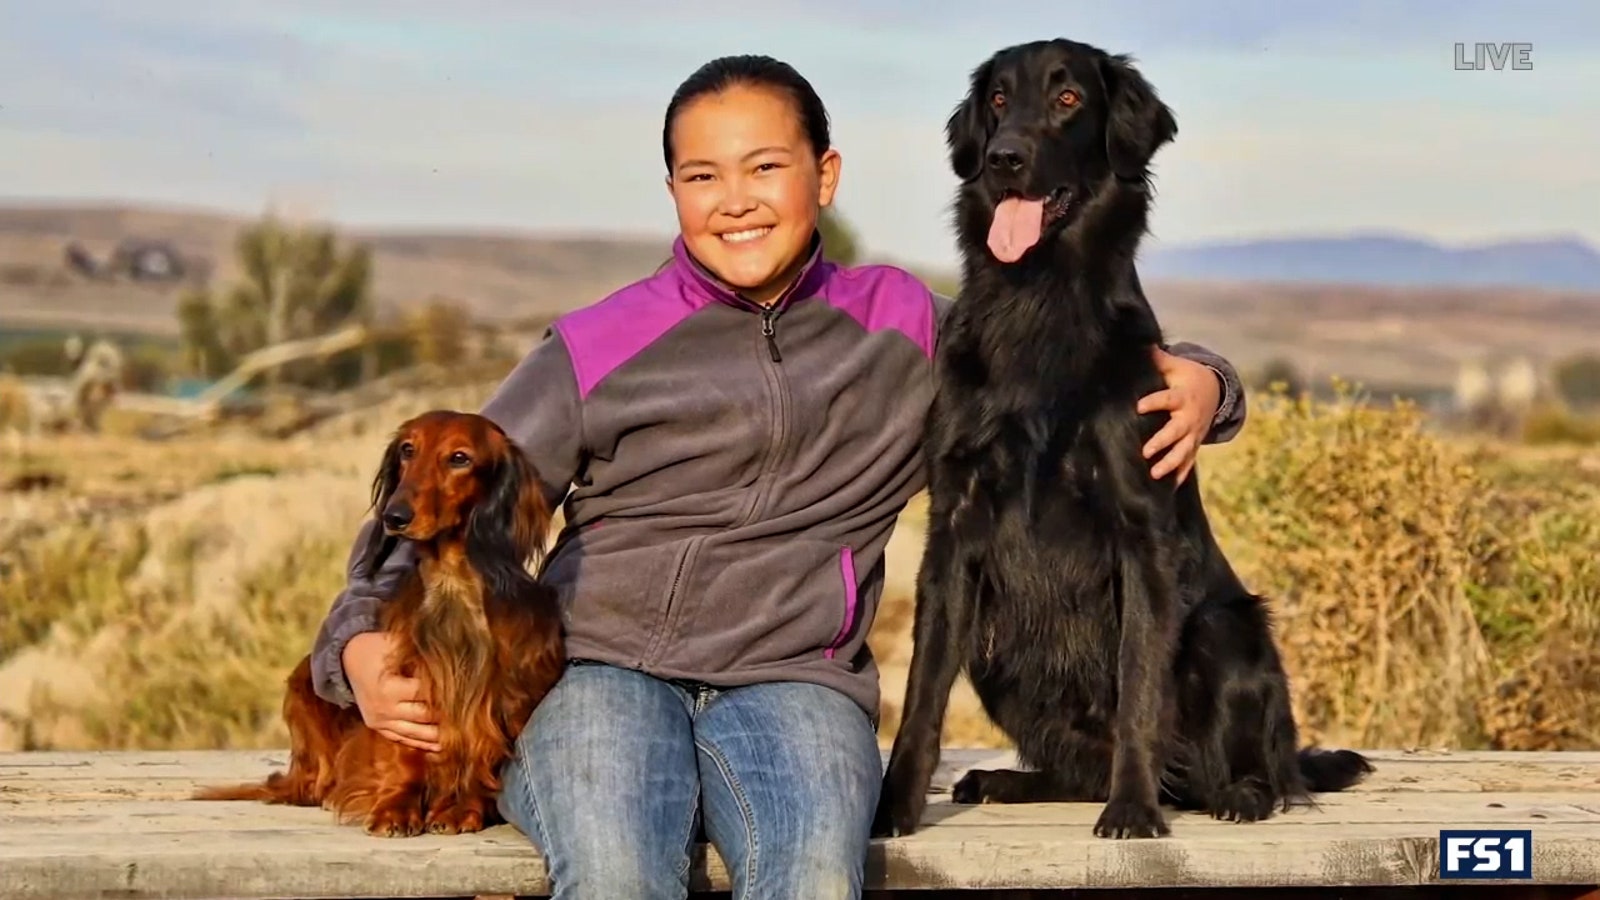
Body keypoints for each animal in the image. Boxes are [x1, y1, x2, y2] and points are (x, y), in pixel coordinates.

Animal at [876, 40, 1376, 839]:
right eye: (997, 99)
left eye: (1069, 99)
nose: (1005, 158)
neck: (1039, 298)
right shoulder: (954, 532)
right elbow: (922, 696)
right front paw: (894, 807)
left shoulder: (1141, 537)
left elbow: (1140, 684)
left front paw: (1133, 810)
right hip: (995, 644)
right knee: (1080, 769)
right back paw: (1007, 780)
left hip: (1226, 633)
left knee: (1257, 769)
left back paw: (1239, 794)